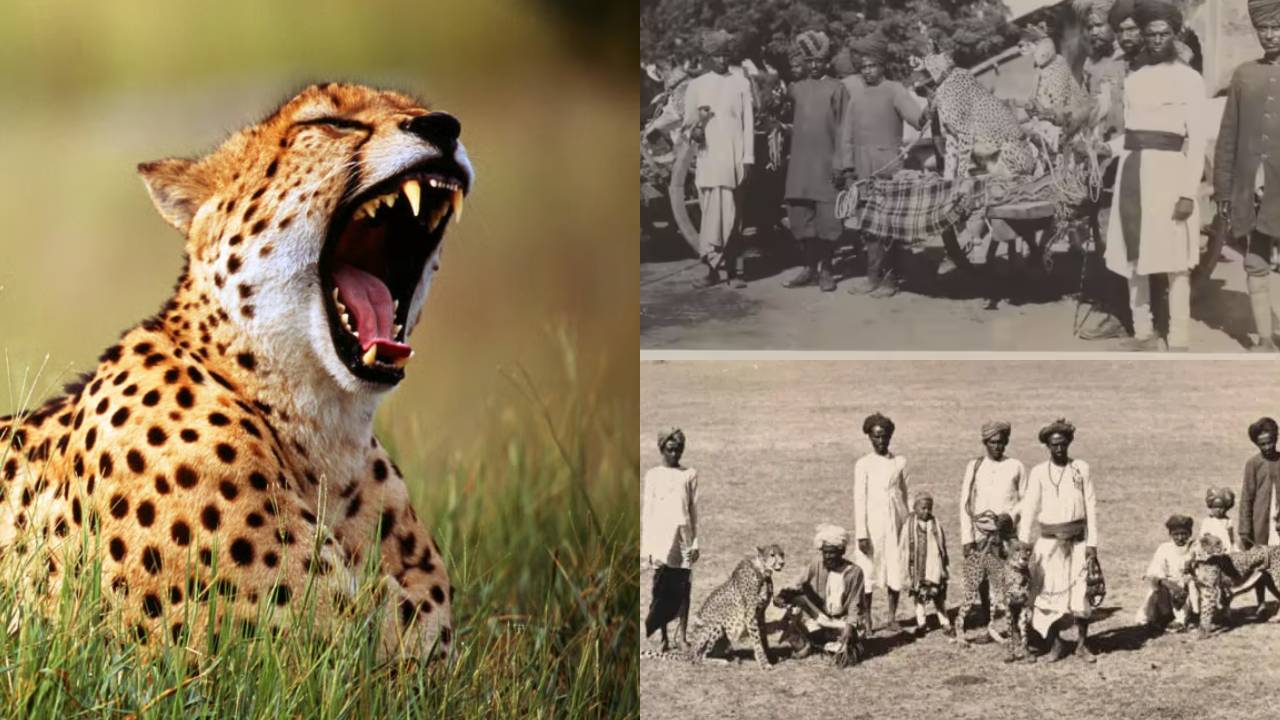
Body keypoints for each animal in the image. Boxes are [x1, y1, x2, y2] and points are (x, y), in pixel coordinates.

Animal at [641, 544, 785, 670]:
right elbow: (757, 641)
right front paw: (764, 663)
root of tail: (689, 651)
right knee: (698, 658)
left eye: (782, 554)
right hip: (715, 625)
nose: (782, 563)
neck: (763, 572)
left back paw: (733, 658)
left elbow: (763, 638)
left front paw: (770, 656)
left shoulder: (760, 614)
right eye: (772, 554)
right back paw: (721, 662)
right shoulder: (750, 616)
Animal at [952, 530, 1032, 663]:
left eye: (1028, 550)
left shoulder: (1023, 605)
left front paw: (1027, 654)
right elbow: (1010, 632)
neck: (1019, 573)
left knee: (990, 623)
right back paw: (962, 641)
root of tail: (977, 552)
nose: (1024, 558)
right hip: (971, 592)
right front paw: (1010, 655)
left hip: (993, 599)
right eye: (1017, 549)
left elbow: (1024, 632)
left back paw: (1001, 640)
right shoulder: (1009, 606)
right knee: (959, 617)